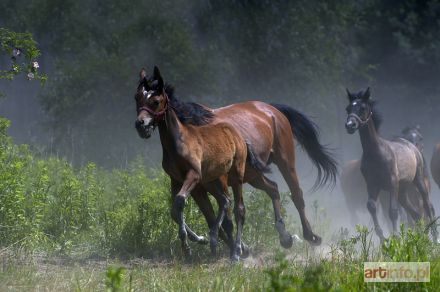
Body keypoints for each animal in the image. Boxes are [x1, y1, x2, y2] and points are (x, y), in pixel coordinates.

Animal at [136, 65, 338, 258]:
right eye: (137, 98)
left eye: (155, 101)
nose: (141, 125)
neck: (190, 130)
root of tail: (272, 110)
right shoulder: (195, 185)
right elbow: (204, 215)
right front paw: (210, 241)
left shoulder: (214, 181)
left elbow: (224, 215)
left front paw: (232, 247)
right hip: (253, 175)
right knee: (273, 189)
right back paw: (285, 237)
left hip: (284, 161)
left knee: (296, 194)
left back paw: (311, 236)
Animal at [346, 88, 438, 243]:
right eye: (348, 108)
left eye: (362, 108)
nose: (350, 125)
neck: (376, 152)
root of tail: (412, 147)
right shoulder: (372, 185)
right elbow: (371, 206)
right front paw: (383, 238)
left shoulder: (392, 184)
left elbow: (393, 212)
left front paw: (395, 239)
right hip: (403, 191)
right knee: (416, 214)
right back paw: (421, 238)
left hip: (418, 181)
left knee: (427, 206)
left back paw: (435, 238)